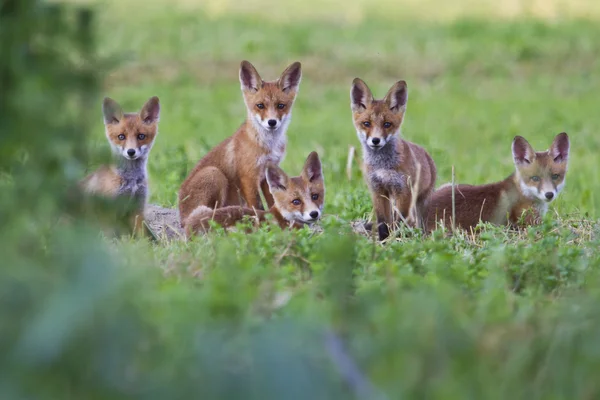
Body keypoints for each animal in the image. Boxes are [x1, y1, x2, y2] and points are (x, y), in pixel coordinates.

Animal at [78, 96, 161, 234]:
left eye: (141, 136)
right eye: (121, 136)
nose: (131, 152)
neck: (131, 180)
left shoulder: (137, 209)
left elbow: (143, 236)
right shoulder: (108, 212)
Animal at [177, 61, 300, 231]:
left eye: (281, 106)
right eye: (260, 105)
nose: (272, 122)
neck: (267, 145)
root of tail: (180, 215)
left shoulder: (266, 173)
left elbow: (273, 201)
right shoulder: (248, 176)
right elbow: (257, 205)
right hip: (214, 174)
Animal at [352, 78, 436, 241]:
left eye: (387, 124)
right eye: (366, 124)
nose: (376, 140)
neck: (382, 165)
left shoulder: (404, 191)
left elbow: (399, 222)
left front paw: (395, 240)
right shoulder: (378, 190)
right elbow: (383, 222)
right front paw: (383, 241)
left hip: (420, 201)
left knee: (418, 223)